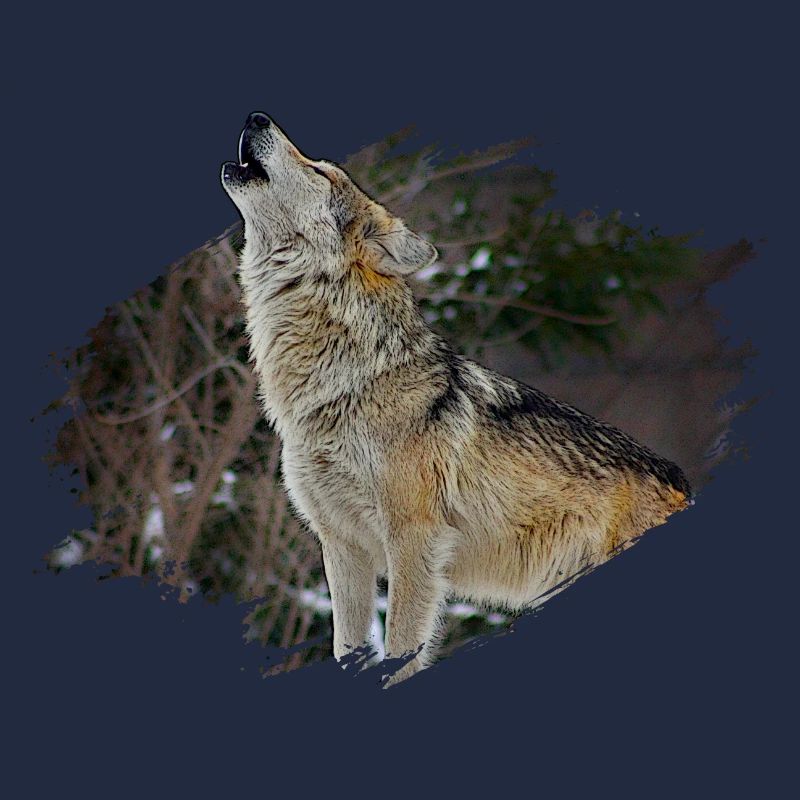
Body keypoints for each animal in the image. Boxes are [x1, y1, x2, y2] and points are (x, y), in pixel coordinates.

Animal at [221, 112, 692, 684]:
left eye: (321, 171)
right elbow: (346, 648)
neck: (340, 385)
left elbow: (400, 654)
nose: (257, 116)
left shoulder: (413, 541)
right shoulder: (342, 547)